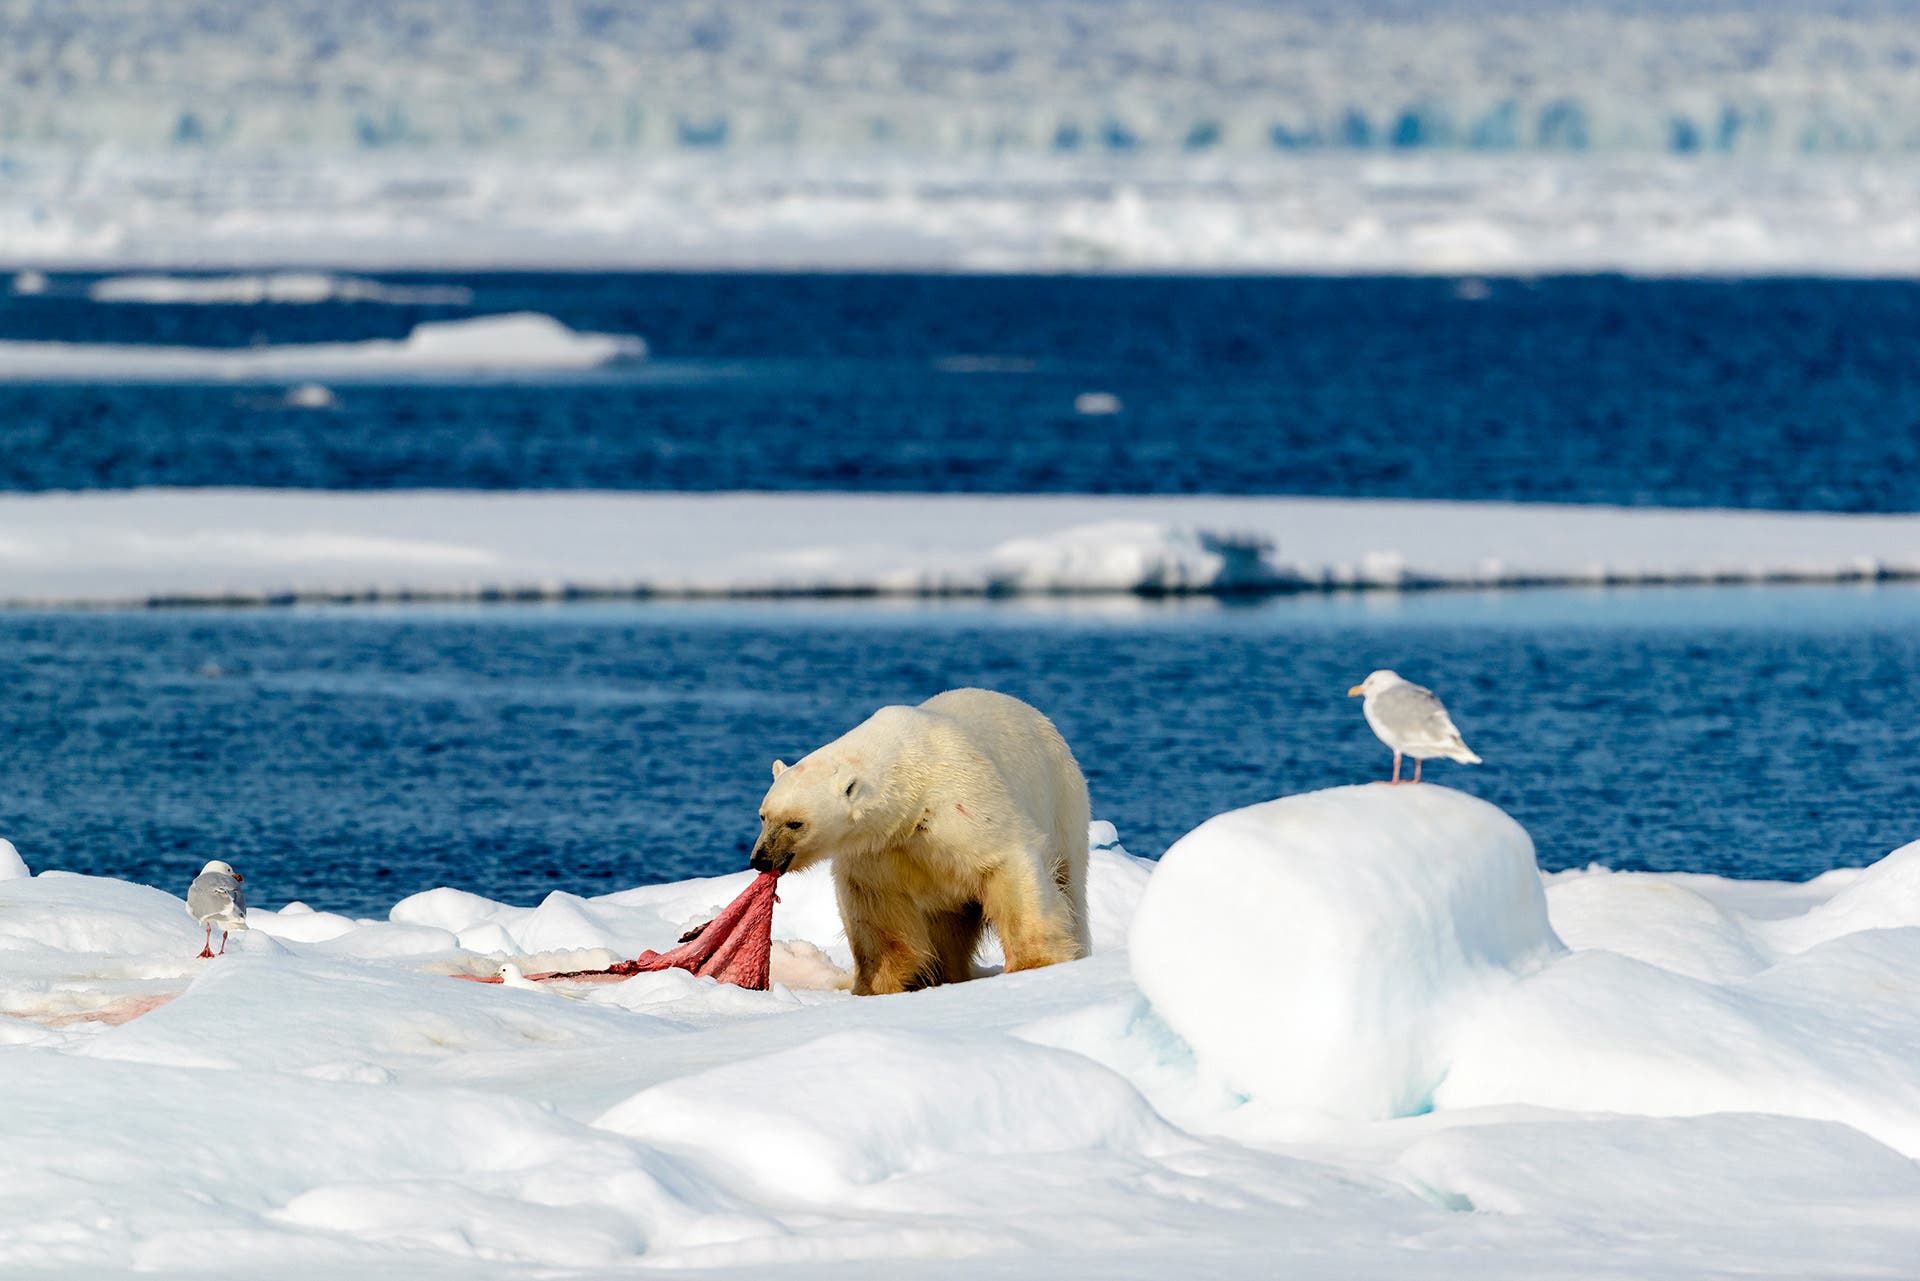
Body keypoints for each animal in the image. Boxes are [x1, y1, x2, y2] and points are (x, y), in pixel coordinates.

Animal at [750, 687, 1092, 996]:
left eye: (795, 823)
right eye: (763, 816)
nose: (761, 859)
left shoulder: (964, 805)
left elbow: (1006, 867)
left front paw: (1033, 965)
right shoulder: (878, 847)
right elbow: (877, 909)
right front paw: (878, 985)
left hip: (1064, 799)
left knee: (1069, 884)